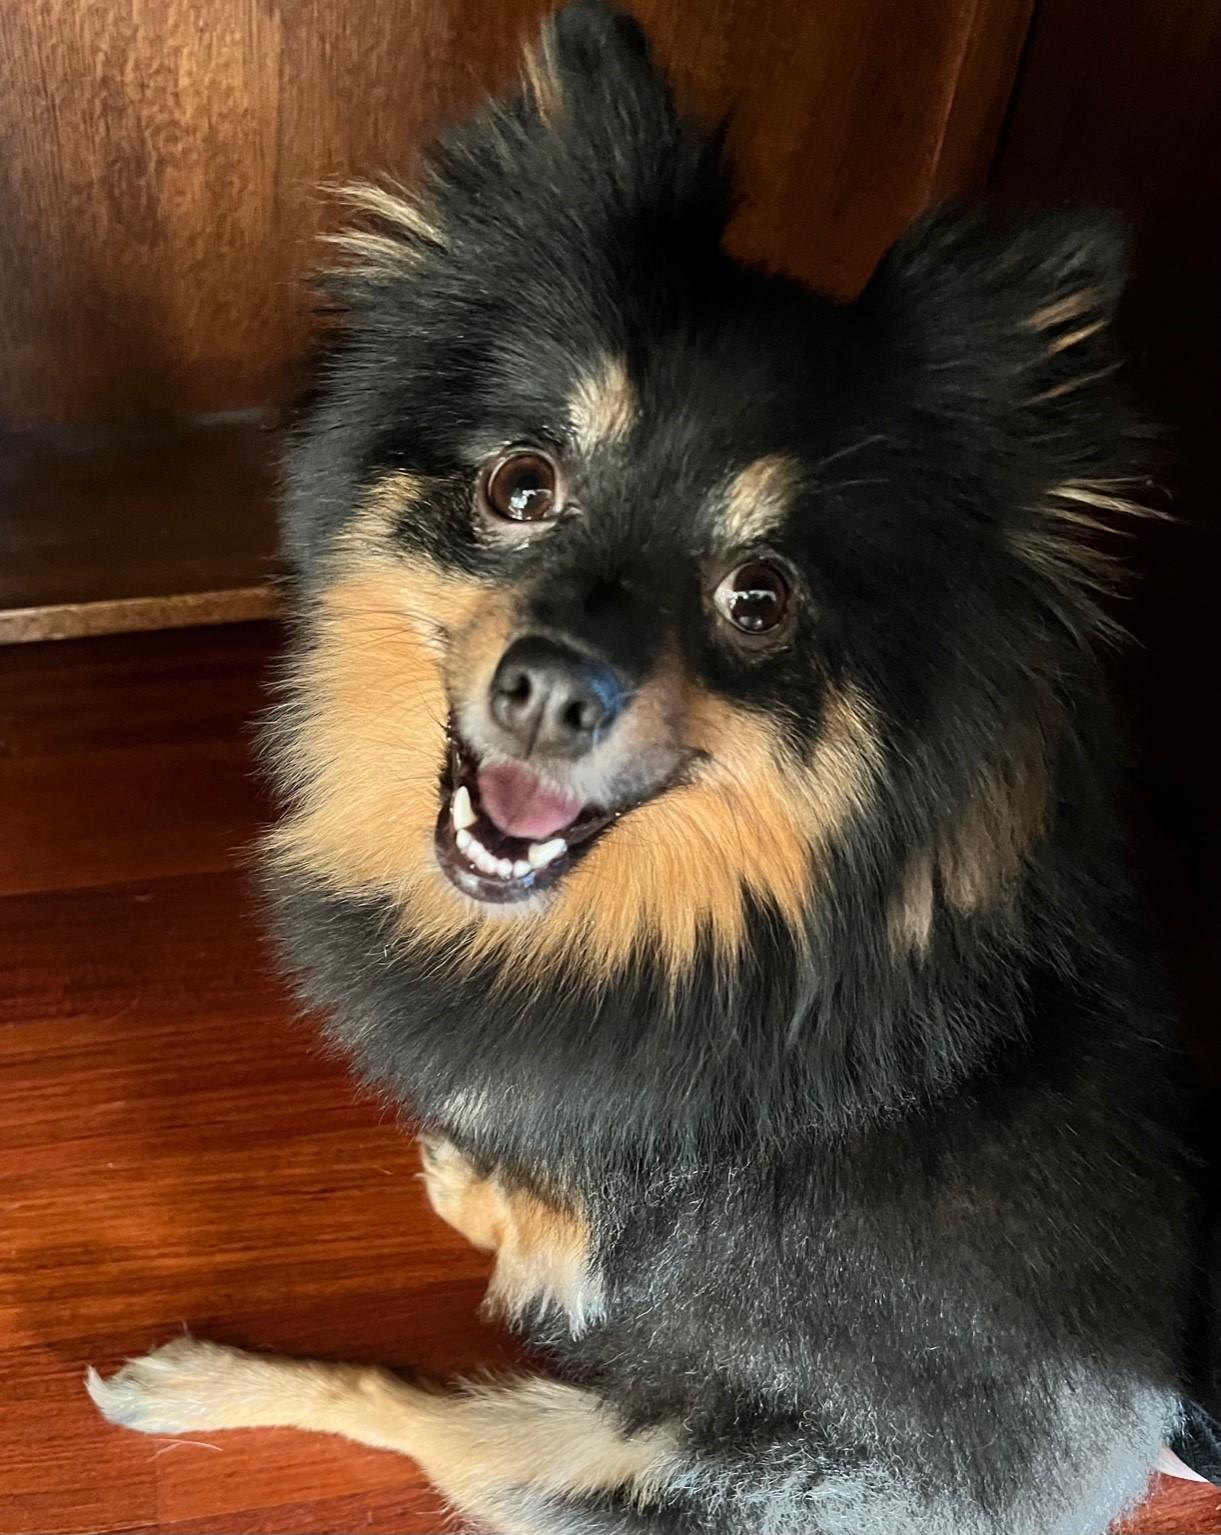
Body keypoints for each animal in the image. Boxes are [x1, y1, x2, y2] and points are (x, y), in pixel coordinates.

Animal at [88, 4, 1203, 1530]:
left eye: (760, 599)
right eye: (522, 483)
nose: (556, 686)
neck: (705, 926)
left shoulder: (603, 1240)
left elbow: (550, 1236)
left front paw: (488, 1203)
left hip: (616, 1454)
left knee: (417, 1407)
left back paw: (199, 1378)